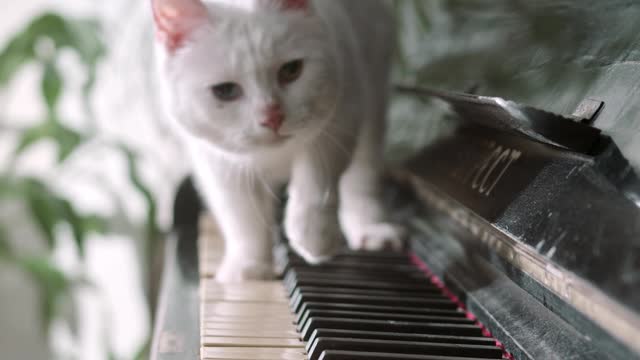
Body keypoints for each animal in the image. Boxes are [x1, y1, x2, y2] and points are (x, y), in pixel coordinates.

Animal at [152, 0, 402, 282]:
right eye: (225, 91)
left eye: (291, 70)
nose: (272, 117)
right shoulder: (215, 161)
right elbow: (242, 216)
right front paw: (248, 266)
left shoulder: (343, 114)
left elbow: (316, 180)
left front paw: (314, 237)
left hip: (374, 86)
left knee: (363, 173)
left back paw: (371, 229)